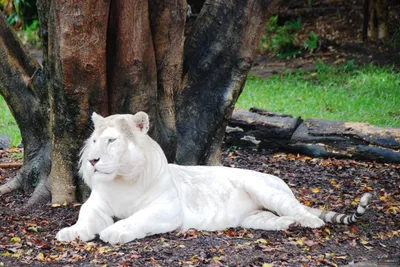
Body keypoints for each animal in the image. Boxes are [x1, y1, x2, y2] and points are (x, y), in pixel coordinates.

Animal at [56, 112, 372, 246]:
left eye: (111, 141)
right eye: (93, 141)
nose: (92, 160)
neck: (122, 180)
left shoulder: (167, 209)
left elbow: (136, 219)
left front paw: (115, 231)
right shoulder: (96, 206)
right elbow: (84, 218)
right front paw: (70, 232)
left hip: (265, 188)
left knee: (300, 210)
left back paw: (309, 221)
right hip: (253, 217)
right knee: (273, 218)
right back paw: (288, 224)